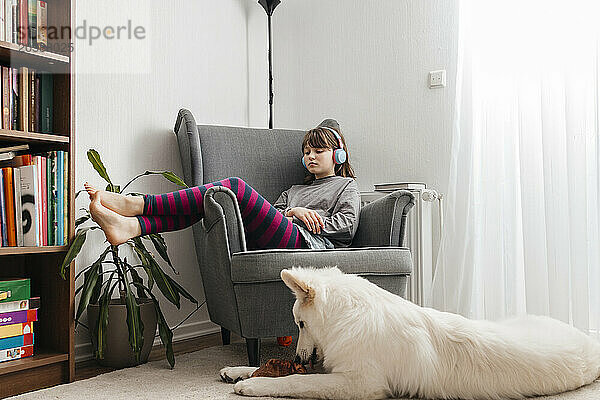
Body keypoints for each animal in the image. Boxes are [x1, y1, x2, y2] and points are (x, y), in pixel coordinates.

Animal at [220, 268, 600, 398]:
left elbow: (299, 381)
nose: (298, 356)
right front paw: (237, 370)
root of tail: (588, 340)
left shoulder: (360, 382)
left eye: (300, 324)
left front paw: (255, 385)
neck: (349, 314)